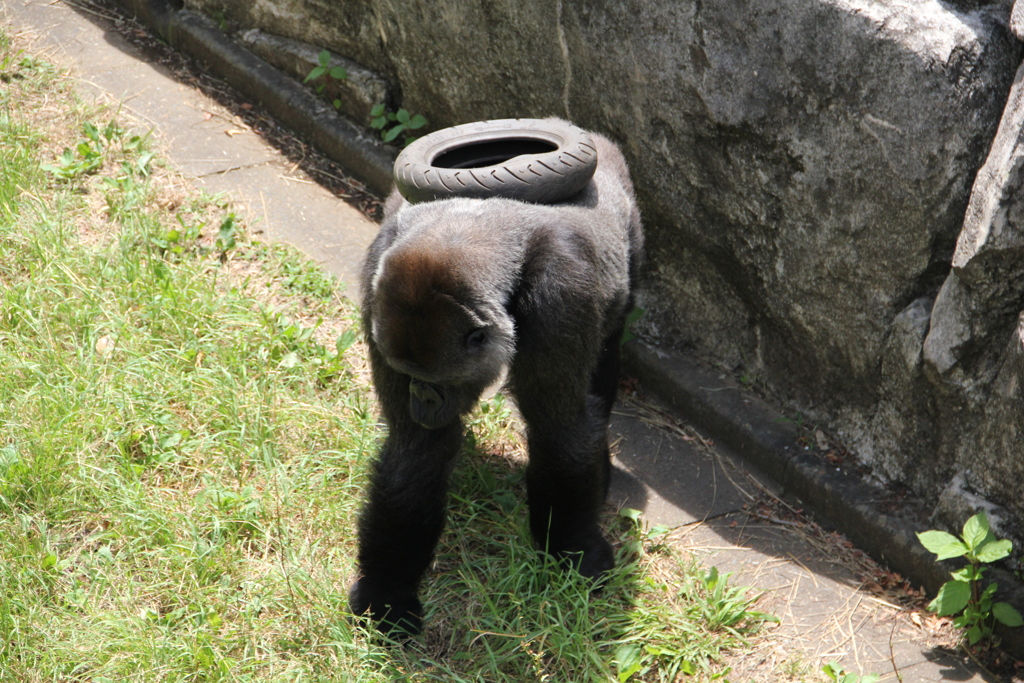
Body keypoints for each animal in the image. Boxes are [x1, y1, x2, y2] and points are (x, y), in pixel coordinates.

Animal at [348, 125, 643, 638]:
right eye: (409, 378)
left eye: (435, 383)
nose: (421, 402)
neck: (483, 224)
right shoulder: (376, 284)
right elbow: (416, 450)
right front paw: (387, 593)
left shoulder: (561, 293)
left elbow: (560, 430)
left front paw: (575, 549)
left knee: (605, 360)